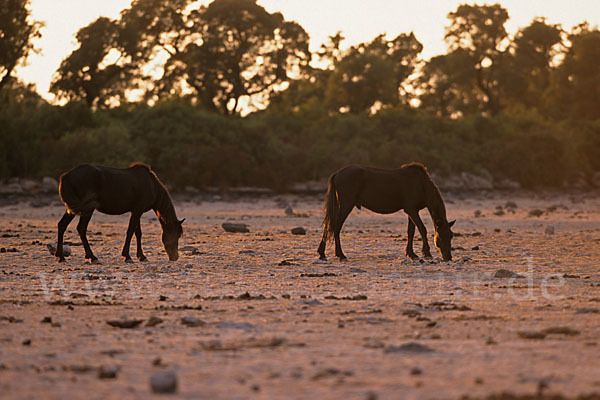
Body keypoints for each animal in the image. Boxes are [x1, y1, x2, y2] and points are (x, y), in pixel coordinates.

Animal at [54, 162, 184, 262]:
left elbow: (138, 233)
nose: (175, 257)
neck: (152, 185)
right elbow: (130, 231)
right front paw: (127, 256)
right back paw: (92, 256)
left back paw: (60, 256)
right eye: (177, 234)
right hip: (87, 209)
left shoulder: (136, 211)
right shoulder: (138, 211)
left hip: (71, 209)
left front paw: (141, 256)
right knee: (81, 228)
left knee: (62, 225)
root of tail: (67, 175)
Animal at [318, 163, 454, 262]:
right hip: (346, 205)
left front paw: (411, 254)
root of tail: (337, 173)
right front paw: (427, 253)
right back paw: (340, 255)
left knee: (330, 226)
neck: (421, 184)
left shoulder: (412, 211)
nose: (448, 257)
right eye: (441, 236)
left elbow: (411, 232)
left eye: (451, 235)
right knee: (335, 226)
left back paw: (322, 253)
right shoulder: (412, 210)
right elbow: (422, 229)